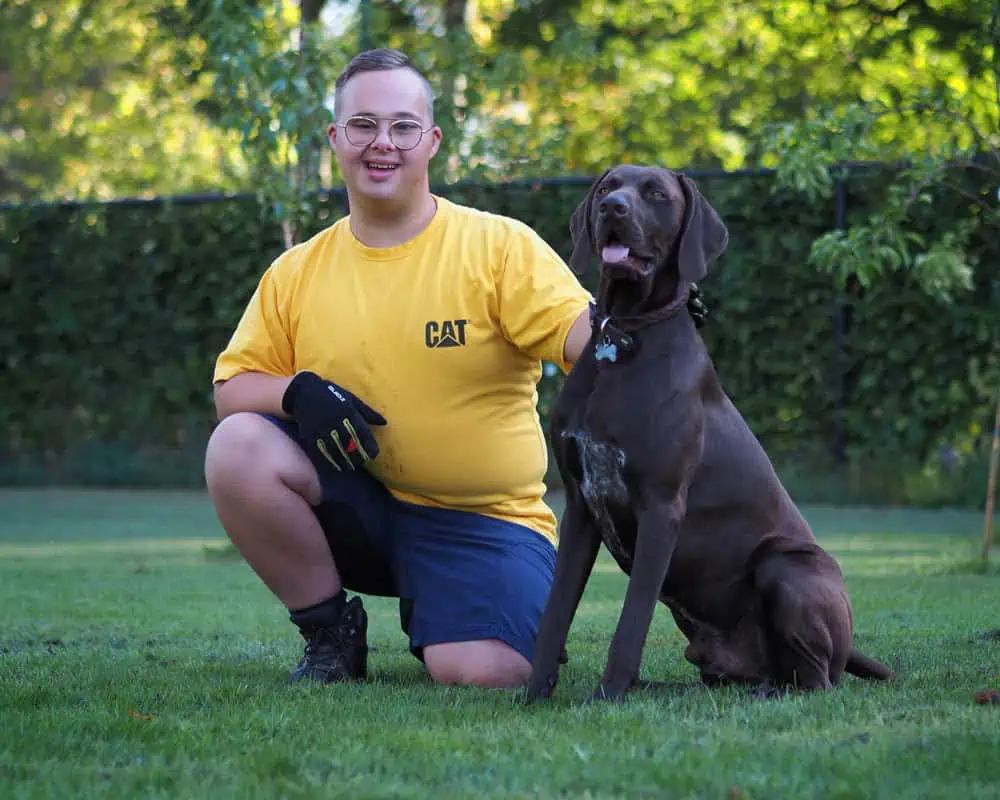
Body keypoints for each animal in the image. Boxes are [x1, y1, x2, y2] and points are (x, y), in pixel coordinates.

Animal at [528, 166, 896, 704]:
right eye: (606, 188)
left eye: (656, 193)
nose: (613, 208)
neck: (624, 333)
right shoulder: (580, 507)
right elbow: (556, 611)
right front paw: (534, 692)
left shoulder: (661, 509)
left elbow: (630, 622)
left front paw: (607, 696)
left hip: (787, 566)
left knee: (817, 682)